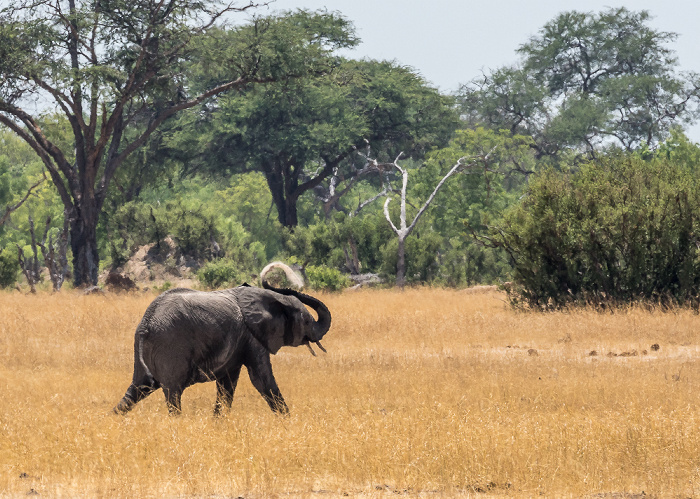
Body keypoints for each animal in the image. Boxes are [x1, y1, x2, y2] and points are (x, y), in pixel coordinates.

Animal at [113, 282, 332, 418]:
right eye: (306, 321)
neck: (272, 297)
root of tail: (146, 324)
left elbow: (227, 385)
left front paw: (218, 423)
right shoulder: (253, 336)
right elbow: (261, 380)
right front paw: (288, 421)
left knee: (137, 390)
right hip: (171, 346)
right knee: (172, 394)